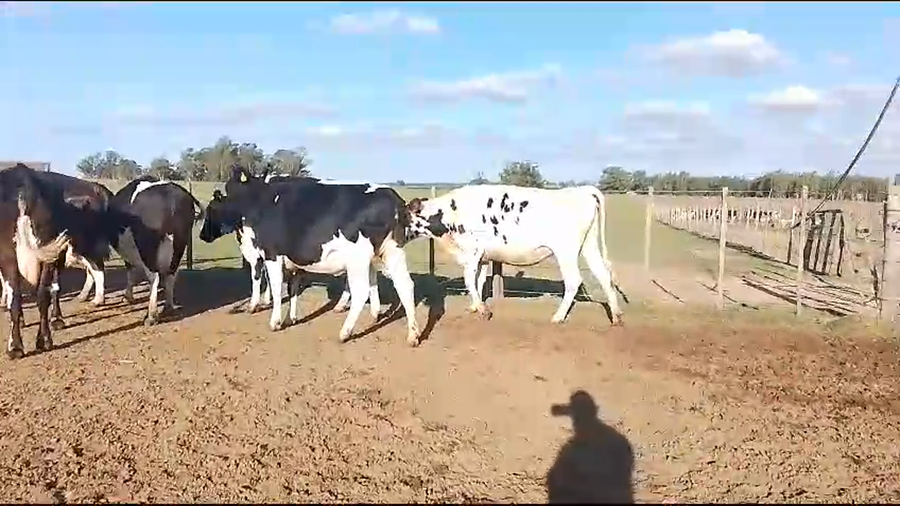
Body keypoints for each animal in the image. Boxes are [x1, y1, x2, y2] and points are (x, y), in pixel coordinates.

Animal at [108, 175, 203, 325]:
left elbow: (130, 273)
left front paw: (128, 296)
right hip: (179, 244)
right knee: (171, 275)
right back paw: (168, 308)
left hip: (148, 248)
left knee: (154, 277)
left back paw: (151, 316)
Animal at [202, 165, 420, 346]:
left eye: (211, 209)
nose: (202, 235)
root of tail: (392, 198)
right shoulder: (295, 260)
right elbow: (293, 289)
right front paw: (291, 318)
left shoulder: (269, 252)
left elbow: (272, 284)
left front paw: (272, 318)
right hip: (392, 252)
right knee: (405, 285)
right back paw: (413, 334)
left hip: (358, 259)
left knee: (361, 291)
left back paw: (345, 332)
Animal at [405, 184, 623, 326]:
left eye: (404, 214)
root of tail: (583, 190)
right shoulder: (483, 256)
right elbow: (479, 281)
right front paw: (475, 306)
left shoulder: (472, 252)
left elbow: (469, 280)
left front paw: (483, 310)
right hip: (589, 245)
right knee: (603, 275)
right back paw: (616, 316)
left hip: (566, 251)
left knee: (574, 281)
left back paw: (558, 317)